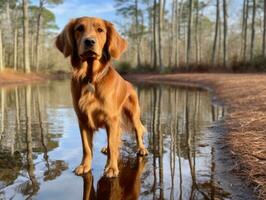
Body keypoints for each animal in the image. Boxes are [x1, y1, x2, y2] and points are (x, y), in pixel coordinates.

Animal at [55, 16, 149, 177]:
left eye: (100, 30)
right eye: (79, 28)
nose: (89, 41)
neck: (91, 78)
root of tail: (128, 83)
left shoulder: (111, 119)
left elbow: (113, 145)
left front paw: (111, 168)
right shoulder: (83, 120)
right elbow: (87, 148)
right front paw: (84, 166)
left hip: (133, 114)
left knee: (137, 131)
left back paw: (141, 148)